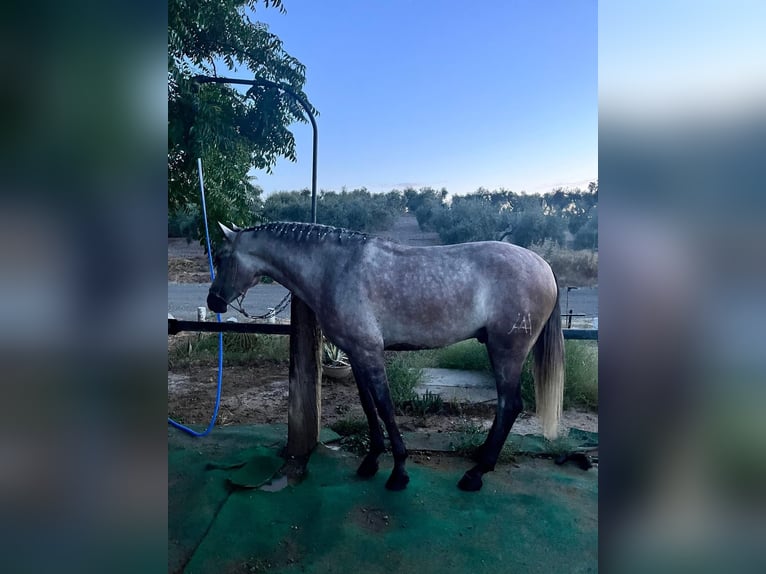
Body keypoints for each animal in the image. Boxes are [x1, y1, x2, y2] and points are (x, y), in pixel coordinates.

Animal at [207, 221, 564, 492]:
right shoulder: (355, 353)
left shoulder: (371, 352)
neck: (335, 269)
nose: (213, 302)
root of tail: (545, 267)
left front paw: (398, 472)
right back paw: (479, 458)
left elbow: (385, 406)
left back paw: (476, 474)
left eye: (222, 257)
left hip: (507, 351)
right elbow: (368, 406)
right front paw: (371, 460)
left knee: (510, 405)